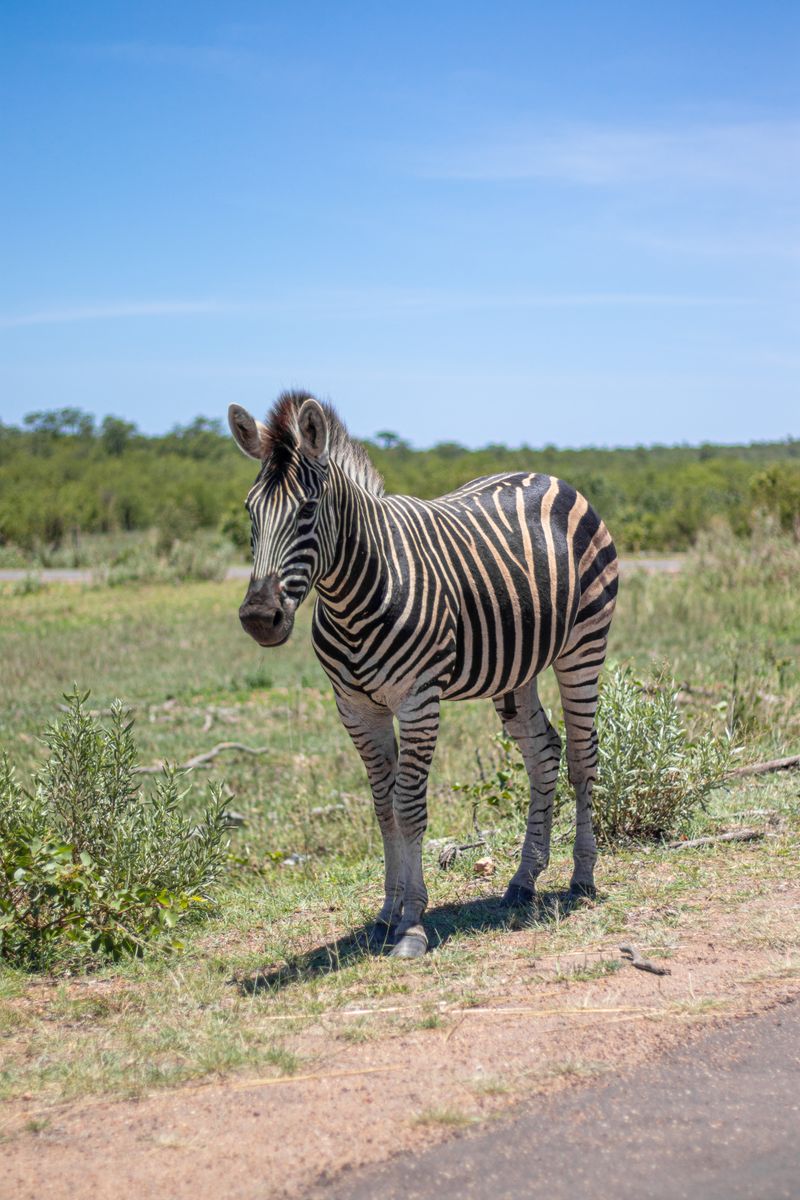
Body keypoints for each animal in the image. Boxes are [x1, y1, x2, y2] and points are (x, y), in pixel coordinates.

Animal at [229, 390, 618, 959]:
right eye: (249, 511)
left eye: (307, 509)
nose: (260, 618)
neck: (353, 593)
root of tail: (548, 476)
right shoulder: (355, 708)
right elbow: (383, 808)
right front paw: (385, 916)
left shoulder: (418, 698)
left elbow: (409, 805)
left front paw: (412, 924)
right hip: (516, 668)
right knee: (543, 753)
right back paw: (524, 880)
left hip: (583, 645)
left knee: (582, 755)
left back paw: (582, 878)